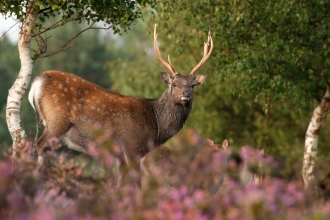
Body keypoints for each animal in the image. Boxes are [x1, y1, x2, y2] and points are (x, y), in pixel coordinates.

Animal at [29, 25, 214, 187]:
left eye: (192, 85)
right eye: (174, 84)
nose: (186, 94)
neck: (156, 124)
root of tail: (38, 81)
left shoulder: (120, 155)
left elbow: (120, 182)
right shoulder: (131, 145)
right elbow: (137, 184)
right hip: (57, 120)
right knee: (41, 145)